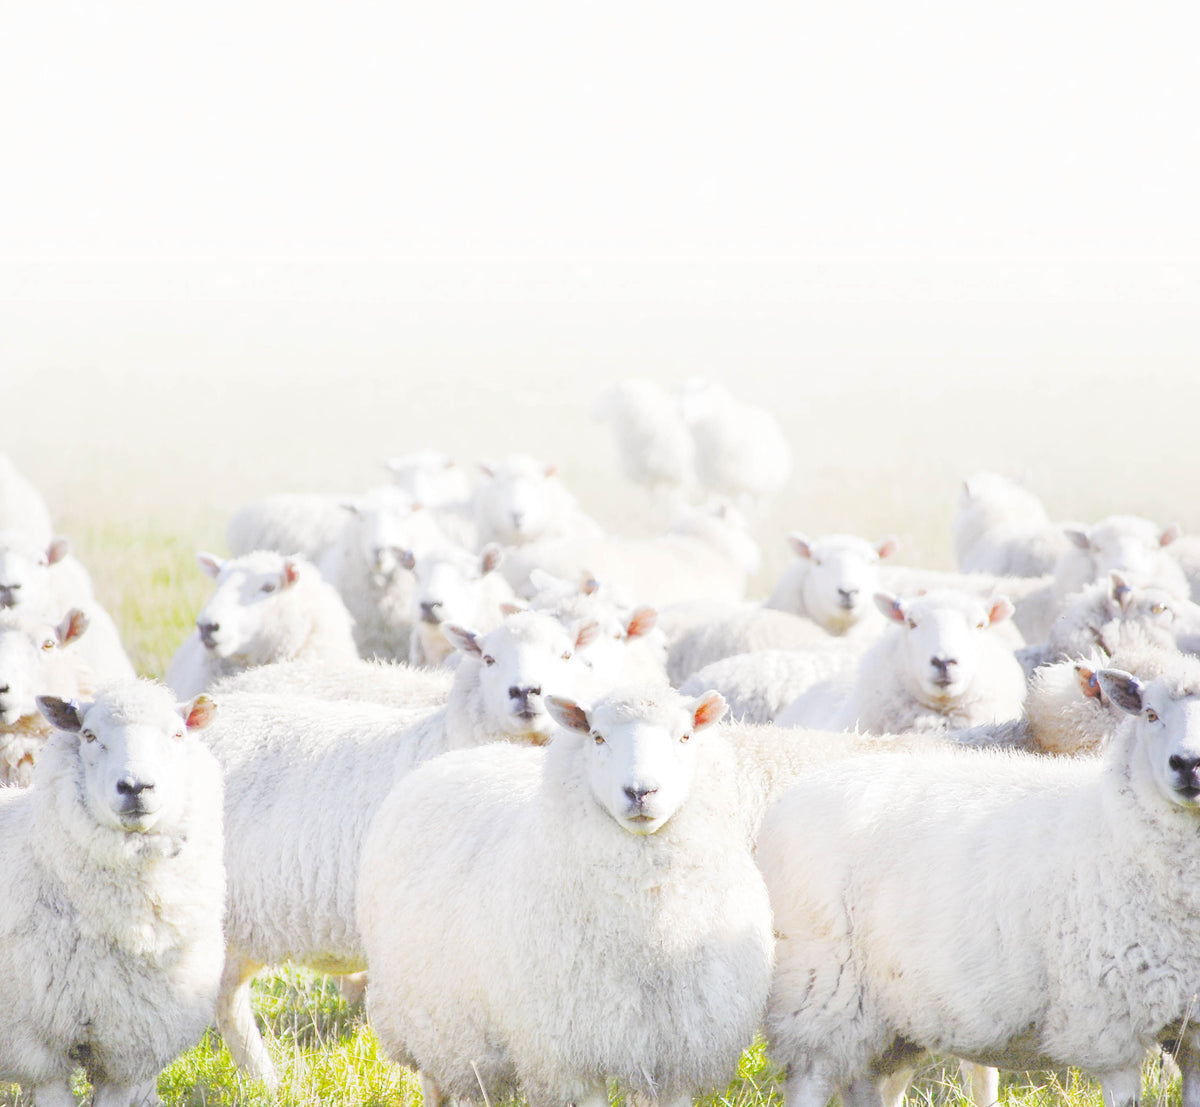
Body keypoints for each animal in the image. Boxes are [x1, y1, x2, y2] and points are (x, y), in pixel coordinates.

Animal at [357, 682, 775, 1107]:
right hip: (430, 1018)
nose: (641, 792)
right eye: (598, 737)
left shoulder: (679, 1053)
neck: (651, 933)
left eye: (685, 736)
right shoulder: (572, 1057)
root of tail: (463, 755)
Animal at [757, 652, 1200, 1107]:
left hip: (889, 1015)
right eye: (1150, 714)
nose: (1188, 765)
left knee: (864, 1082)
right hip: (822, 991)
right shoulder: (1109, 1024)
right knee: (810, 1076)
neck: (1111, 822)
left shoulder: (1193, 1031)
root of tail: (802, 788)